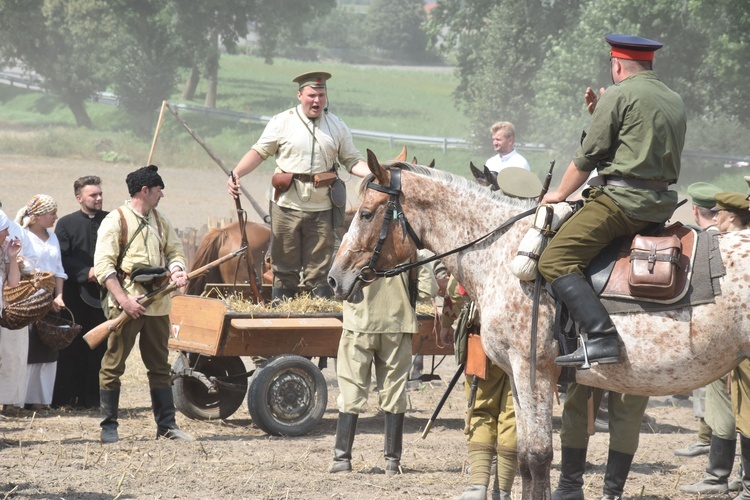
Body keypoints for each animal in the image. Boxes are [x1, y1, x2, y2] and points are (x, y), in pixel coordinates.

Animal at [328, 150, 750, 498]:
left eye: (366, 213)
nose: (335, 278)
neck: (501, 251)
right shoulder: (517, 376)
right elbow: (524, 458)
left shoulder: (534, 370)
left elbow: (537, 456)